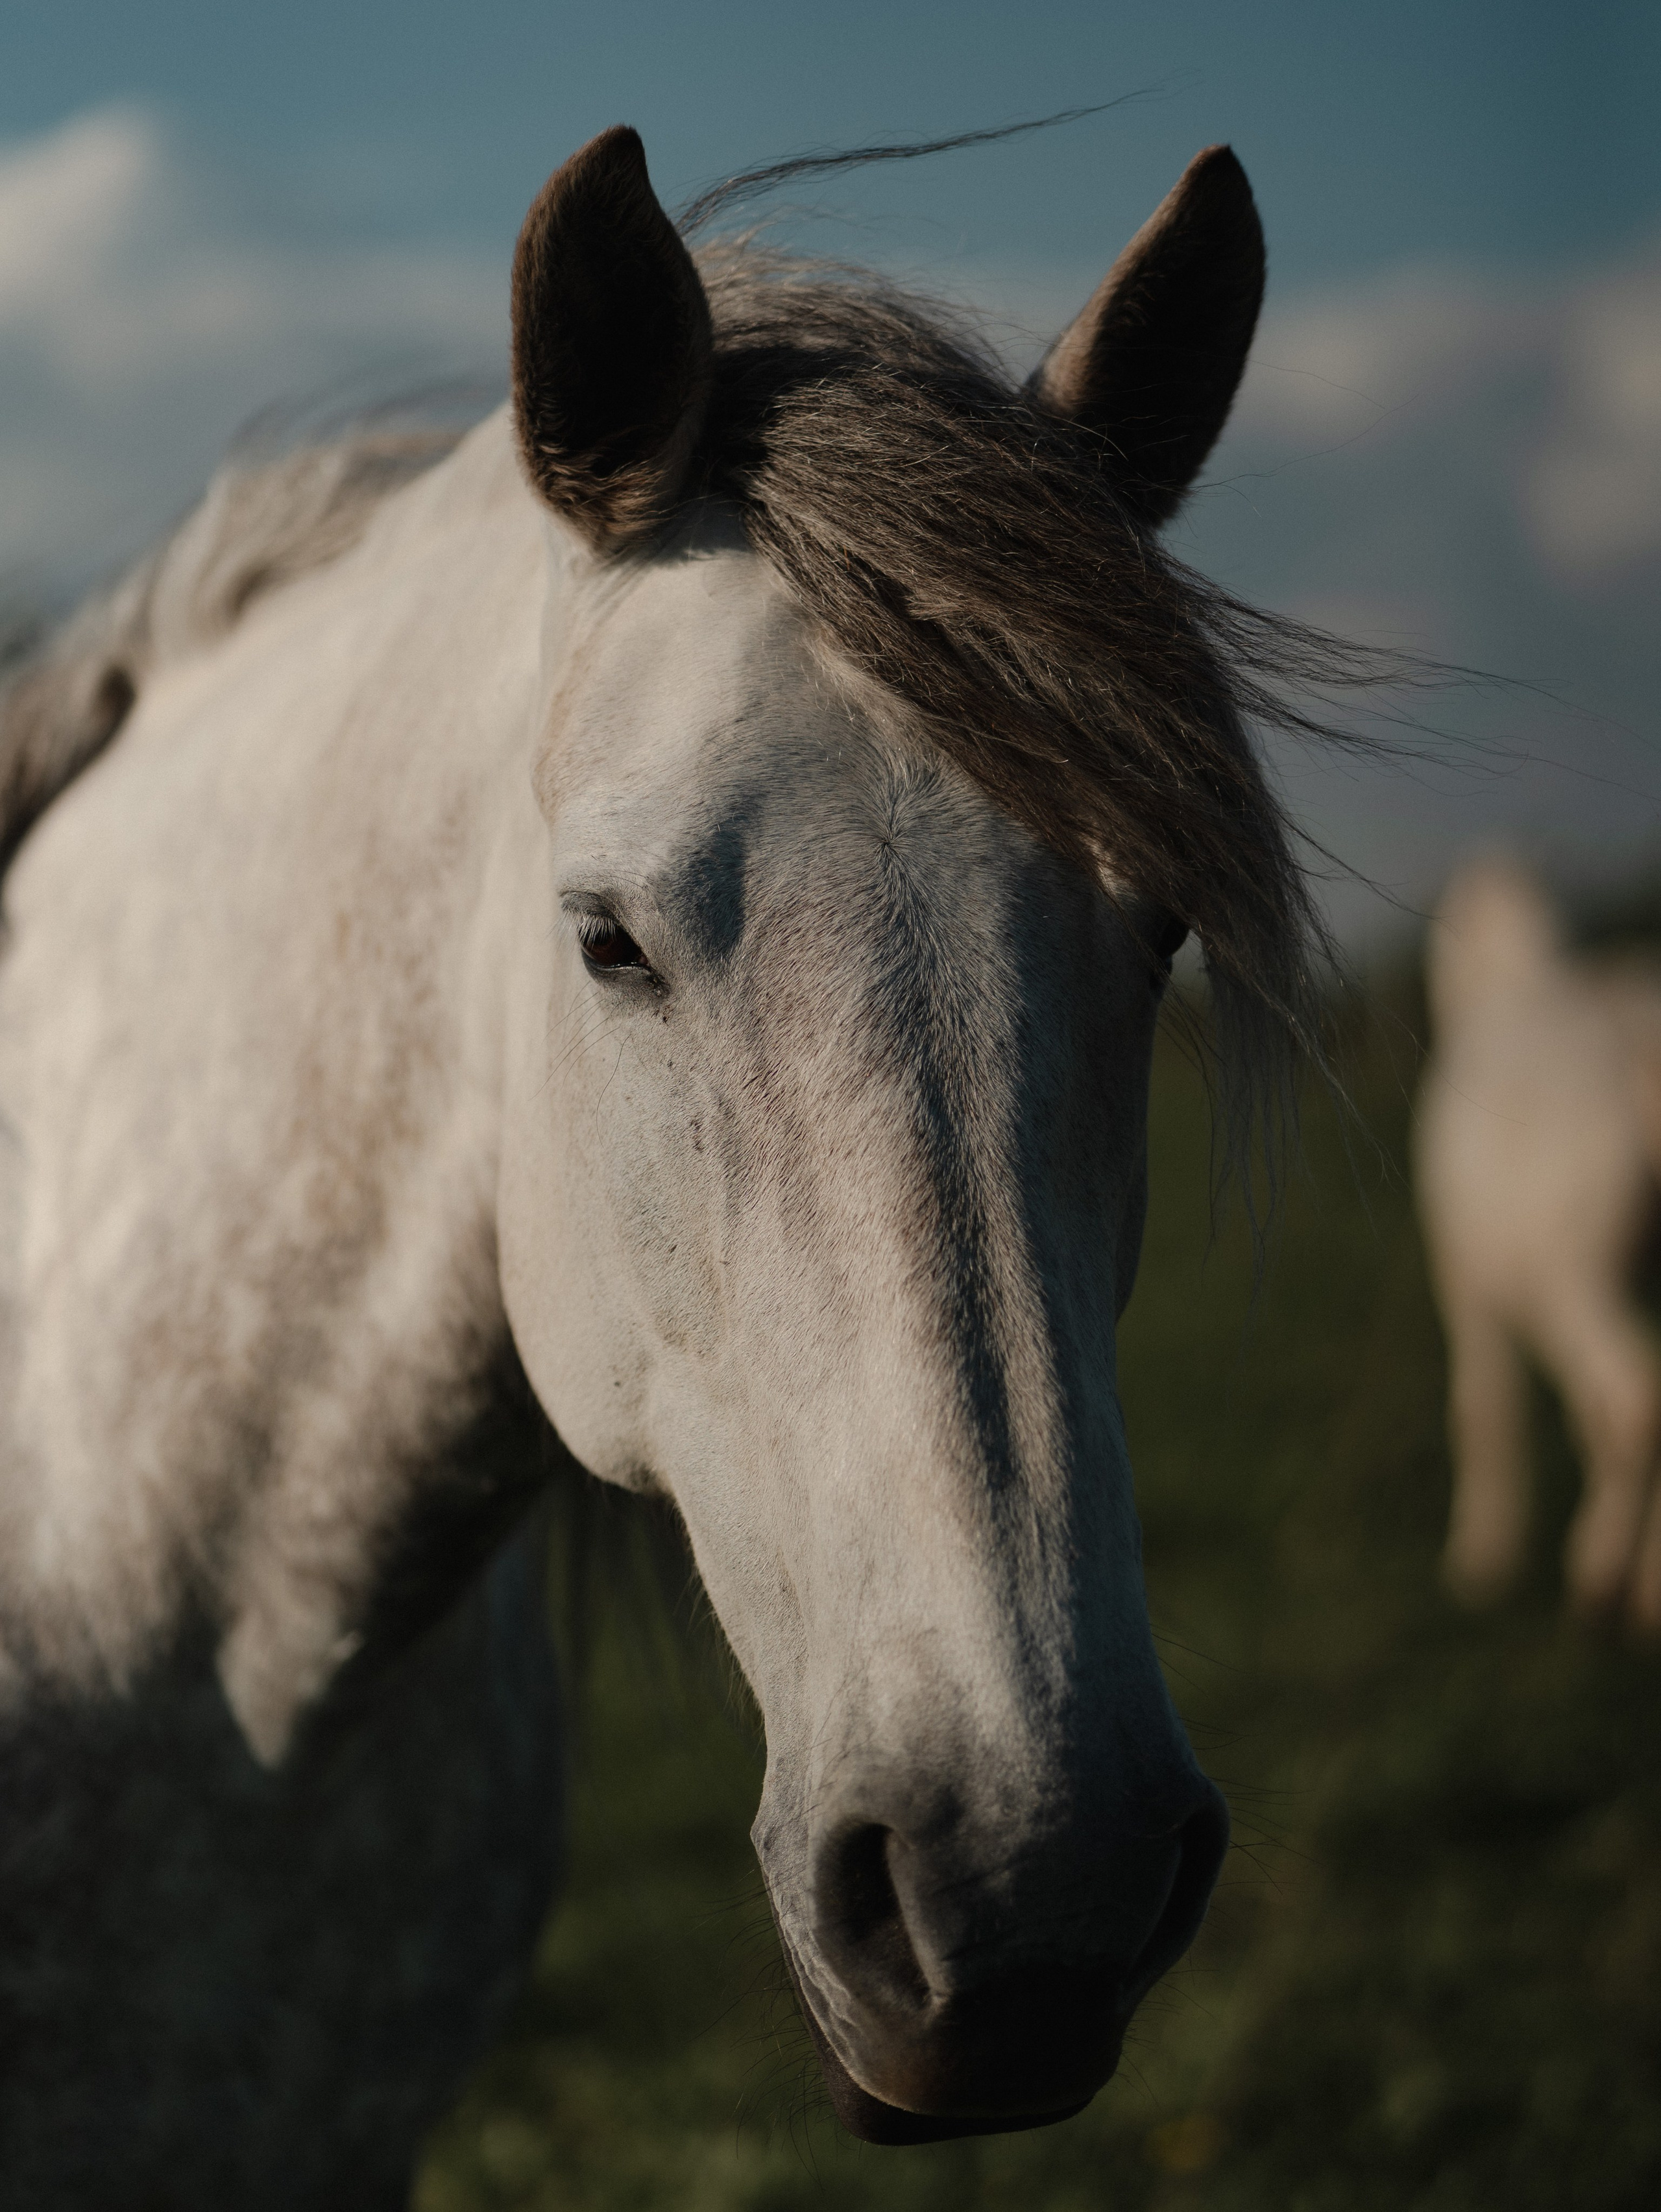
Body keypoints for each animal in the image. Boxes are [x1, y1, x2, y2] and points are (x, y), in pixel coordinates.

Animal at [1417, 857, 1661, 1625]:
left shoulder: (1462, 1279)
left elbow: (1484, 1407)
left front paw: (1481, 1559)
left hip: (1573, 1275)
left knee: (1632, 1395)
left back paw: (1604, 1572)